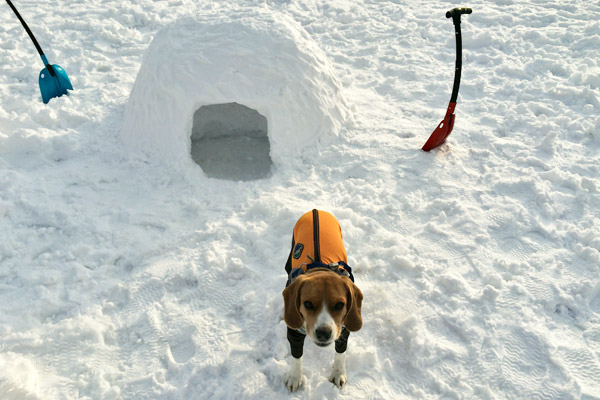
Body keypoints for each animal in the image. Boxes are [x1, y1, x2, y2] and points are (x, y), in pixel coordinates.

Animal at [284, 209, 364, 390]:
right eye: (307, 303)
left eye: (340, 305)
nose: (323, 333)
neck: (320, 267)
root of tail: (316, 210)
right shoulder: (294, 332)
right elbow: (296, 356)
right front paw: (295, 376)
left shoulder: (344, 329)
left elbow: (341, 353)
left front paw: (338, 373)